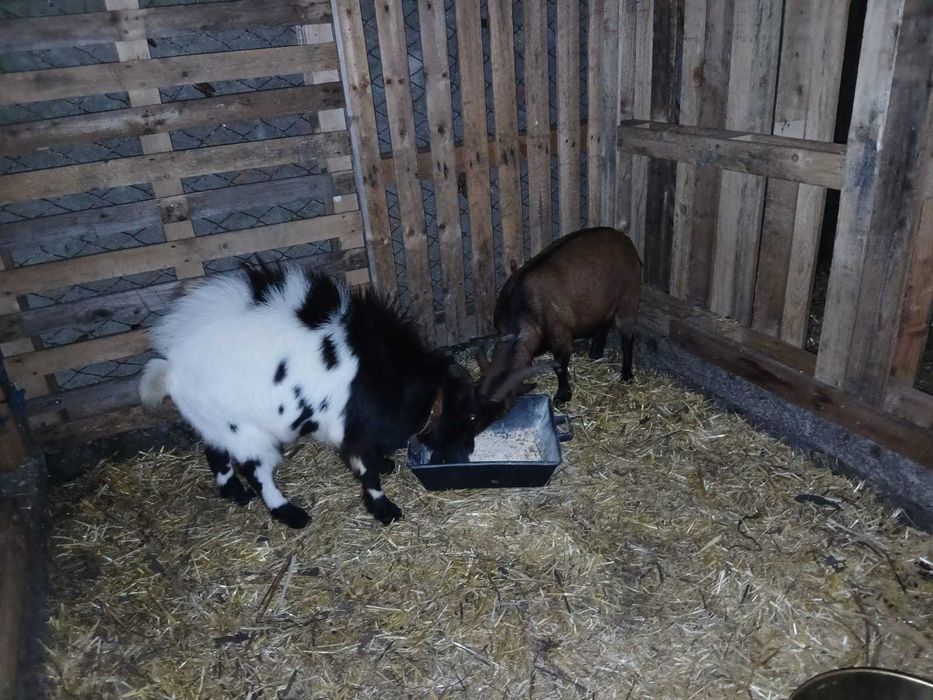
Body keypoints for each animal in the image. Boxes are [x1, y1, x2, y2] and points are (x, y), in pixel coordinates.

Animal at [139, 265, 482, 528]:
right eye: (468, 414)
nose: (468, 451)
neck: (391, 376)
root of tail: (171, 367)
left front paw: (385, 465)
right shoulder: (352, 431)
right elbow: (366, 472)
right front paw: (385, 510)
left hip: (218, 420)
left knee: (216, 454)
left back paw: (236, 494)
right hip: (245, 432)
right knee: (257, 472)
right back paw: (290, 514)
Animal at [476, 227, 642, 411]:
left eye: (504, 406)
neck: (521, 305)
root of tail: (625, 240)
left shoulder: (560, 336)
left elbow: (560, 366)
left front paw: (562, 396)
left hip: (629, 297)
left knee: (627, 339)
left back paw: (626, 375)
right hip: (603, 301)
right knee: (604, 322)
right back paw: (595, 354)